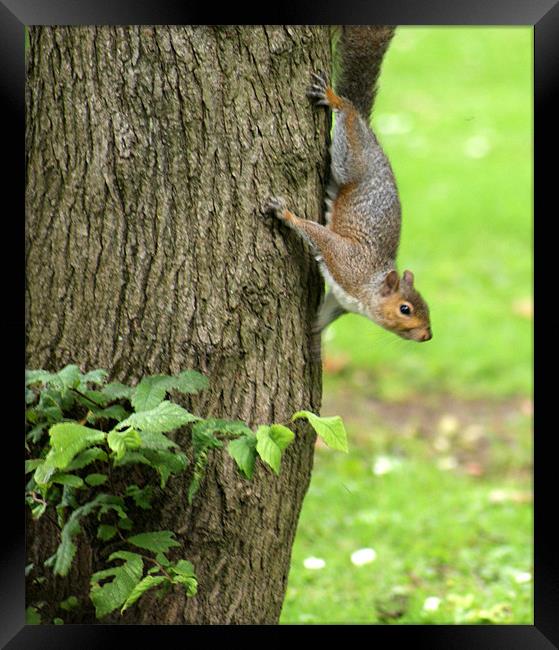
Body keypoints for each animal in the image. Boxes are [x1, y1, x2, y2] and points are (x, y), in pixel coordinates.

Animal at [266, 24, 434, 342]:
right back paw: (335, 99)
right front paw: (286, 213)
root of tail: (370, 132)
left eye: (426, 306)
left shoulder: (339, 301)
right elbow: (319, 235)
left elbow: (322, 317)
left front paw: (314, 337)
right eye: (405, 309)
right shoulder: (346, 260)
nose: (427, 336)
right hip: (351, 159)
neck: (368, 288)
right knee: (348, 114)